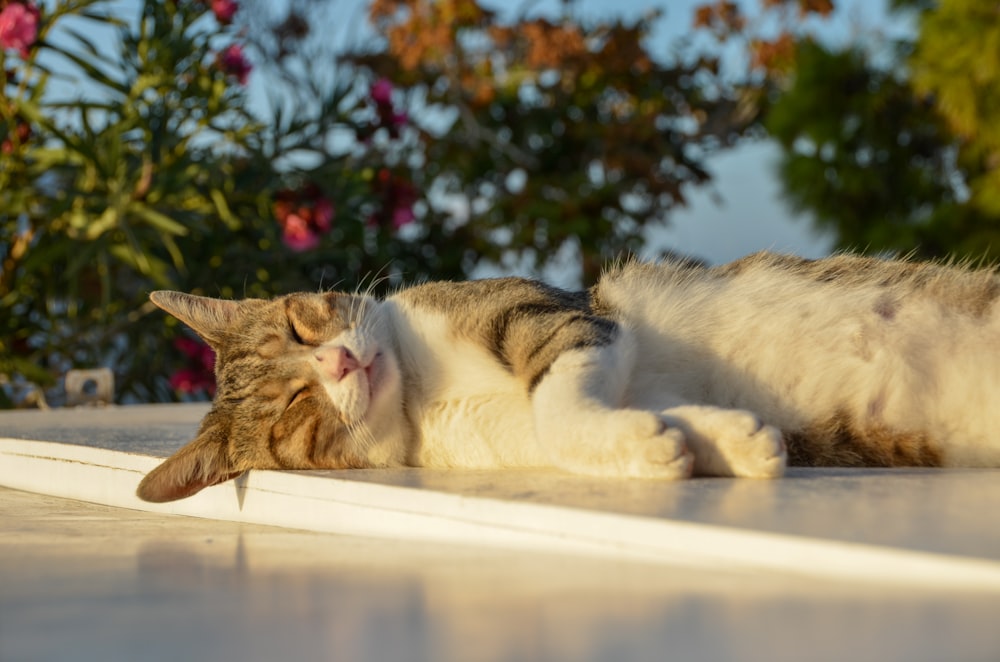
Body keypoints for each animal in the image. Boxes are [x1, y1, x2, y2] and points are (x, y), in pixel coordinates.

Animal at [137, 253, 1000, 504]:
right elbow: (627, 418)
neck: (423, 396)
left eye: (298, 326)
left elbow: (558, 394)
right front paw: (717, 440)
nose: (339, 361)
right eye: (290, 412)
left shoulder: (543, 318)